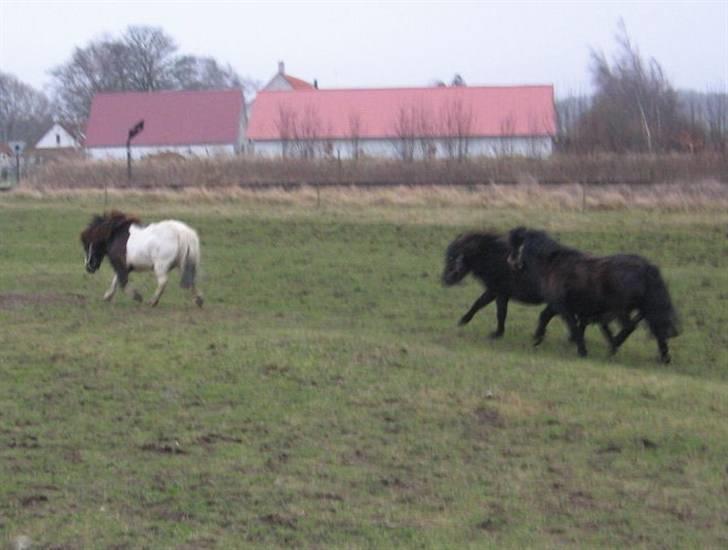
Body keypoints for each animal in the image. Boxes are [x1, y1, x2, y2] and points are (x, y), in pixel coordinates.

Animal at [506, 226, 676, 364]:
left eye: (517, 246)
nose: (510, 261)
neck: (553, 264)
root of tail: (646, 267)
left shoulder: (564, 307)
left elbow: (573, 326)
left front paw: (582, 351)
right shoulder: (557, 305)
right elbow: (546, 317)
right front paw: (537, 339)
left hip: (621, 308)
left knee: (630, 326)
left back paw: (612, 348)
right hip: (645, 307)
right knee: (657, 330)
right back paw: (664, 358)